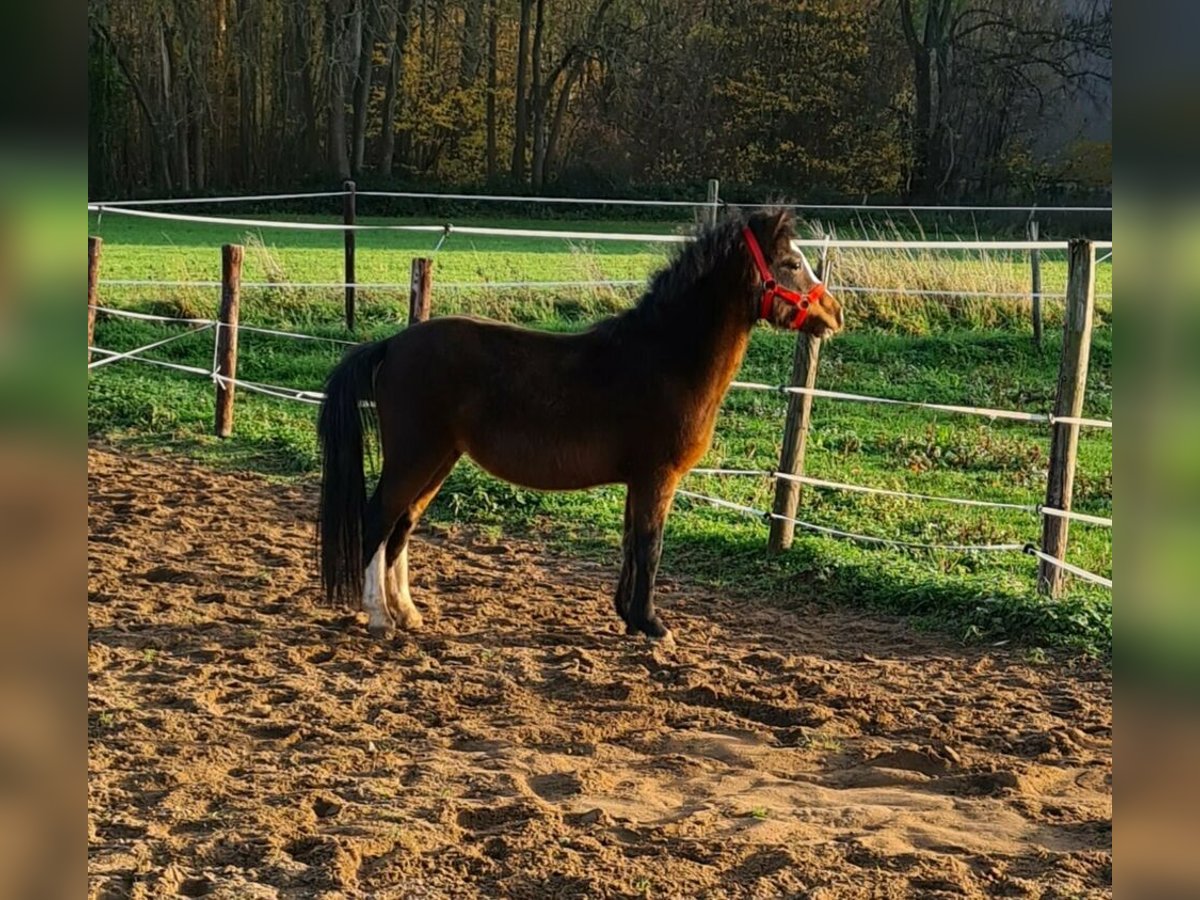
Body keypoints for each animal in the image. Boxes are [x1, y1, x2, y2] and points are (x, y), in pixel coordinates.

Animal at [319, 210, 844, 643]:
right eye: (791, 263)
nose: (834, 313)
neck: (665, 360)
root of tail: (392, 344)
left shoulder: (639, 481)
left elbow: (632, 543)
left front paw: (629, 617)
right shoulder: (657, 478)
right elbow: (650, 547)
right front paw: (653, 626)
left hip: (439, 461)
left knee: (401, 528)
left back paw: (408, 613)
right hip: (415, 458)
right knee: (376, 523)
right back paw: (380, 618)